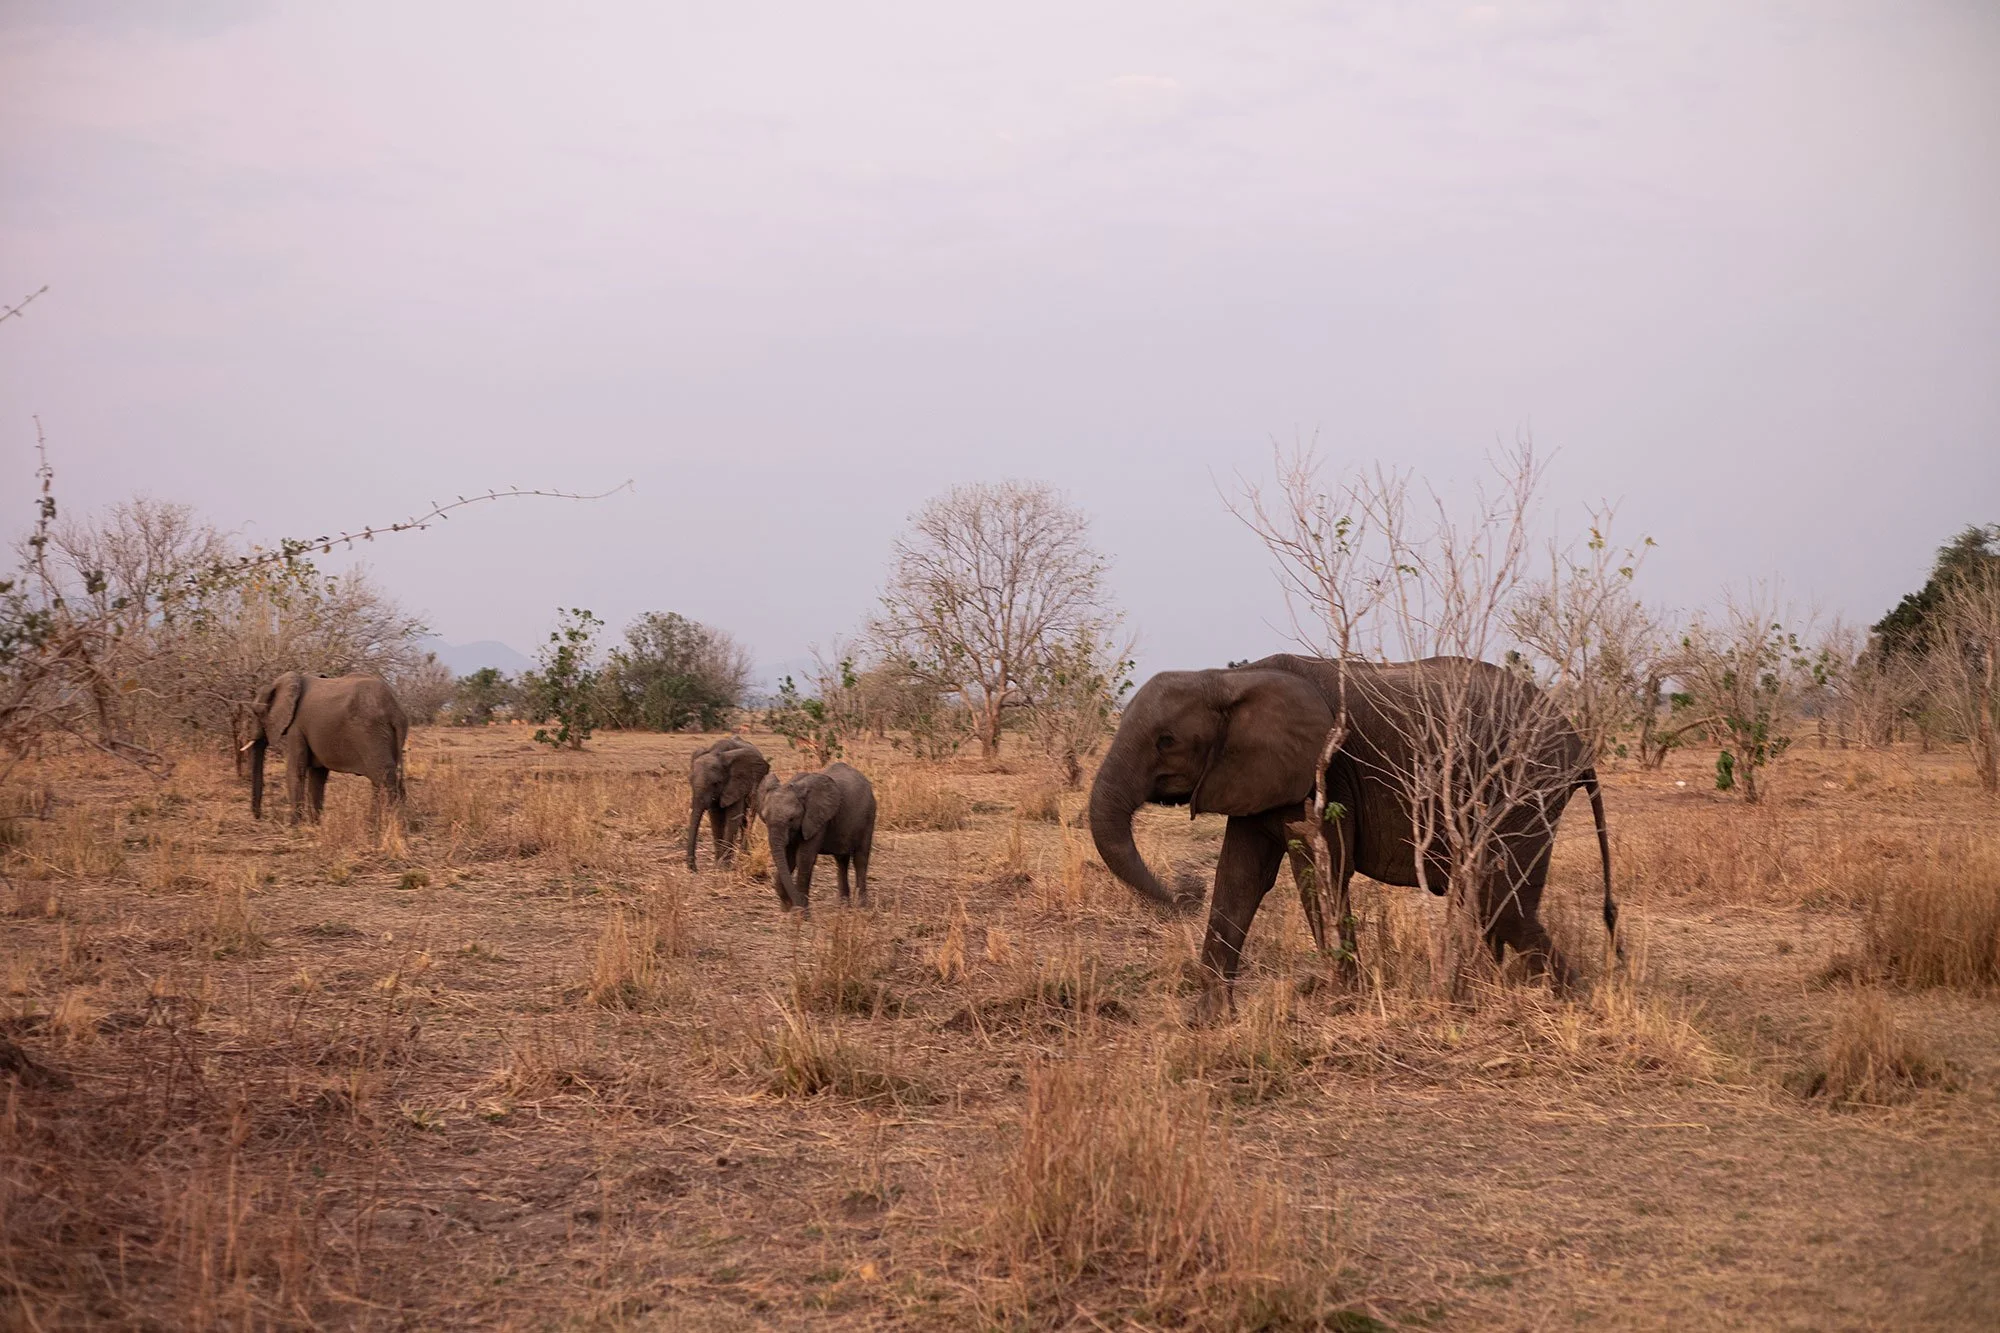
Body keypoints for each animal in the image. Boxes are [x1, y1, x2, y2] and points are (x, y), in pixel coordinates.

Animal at [248, 672, 409, 824]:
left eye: (256, 712)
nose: (259, 817)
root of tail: (396, 711)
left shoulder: (296, 727)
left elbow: (295, 770)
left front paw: (294, 826)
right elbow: (317, 775)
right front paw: (314, 824)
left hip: (371, 733)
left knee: (383, 777)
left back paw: (381, 827)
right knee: (382, 780)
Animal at [686, 736, 771, 870]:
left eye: (716, 783)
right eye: (690, 780)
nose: (694, 869)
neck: (717, 752)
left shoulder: (736, 783)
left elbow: (732, 819)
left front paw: (724, 868)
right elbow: (716, 820)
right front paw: (717, 865)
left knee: (749, 817)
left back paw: (743, 855)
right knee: (744, 820)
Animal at [763, 762, 876, 912]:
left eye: (792, 819)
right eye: (764, 819)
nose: (792, 903)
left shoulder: (817, 819)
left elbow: (804, 859)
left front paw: (800, 912)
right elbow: (788, 858)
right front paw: (787, 908)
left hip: (868, 816)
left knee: (860, 858)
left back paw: (861, 907)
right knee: (841, 860)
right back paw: (843, 906)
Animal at [1088, 653, 1616, 994]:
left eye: (1166, 741)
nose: (1182, 896)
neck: (1227, 679)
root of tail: (1578, 741)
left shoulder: (1325, 773)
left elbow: (1321, 869)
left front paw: (1346, 999)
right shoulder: (1255, 776)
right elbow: (1239, 877)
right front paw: (1209, 1020)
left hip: (1527, 785)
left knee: (1500, 901)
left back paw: (1576, 1001)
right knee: (1493, 902)